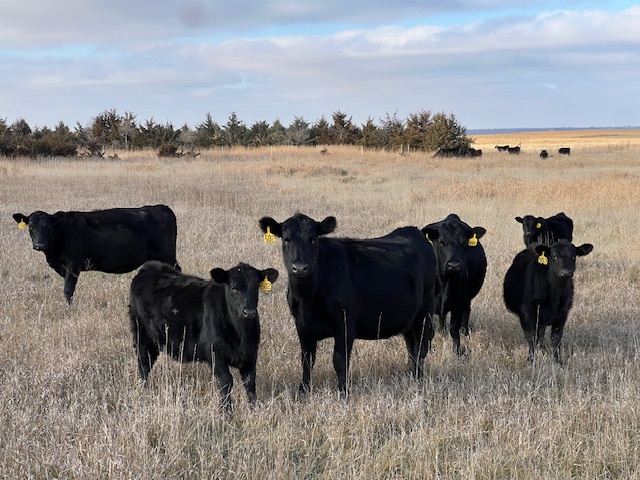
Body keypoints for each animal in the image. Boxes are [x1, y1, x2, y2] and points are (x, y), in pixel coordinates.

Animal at [13, 205, 180, 304]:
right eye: (31, 227)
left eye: (48, 227)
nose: (39, 245)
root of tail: (161, 207)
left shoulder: (73, 265)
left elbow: (68, 289)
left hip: (168, 255)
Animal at [128, 261, 279, 410]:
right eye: (233, 287)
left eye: (256, 288)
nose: (249, 312)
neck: (241, 334)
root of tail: (150, 267)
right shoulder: (214, 353)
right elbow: (226, 381)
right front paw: (227, 411)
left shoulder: (251, 354)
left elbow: (250, 382)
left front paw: (255, 408)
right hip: (142, 337)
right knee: (144, 365)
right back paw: (143, 392)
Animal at [258, 213, 436, 394]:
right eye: (286, 239)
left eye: (313, 239)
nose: (300, 268)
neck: (307, 299)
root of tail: (413, 231)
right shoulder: (302, 325)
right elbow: (307, 360)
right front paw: (303, 390)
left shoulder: (345, 323)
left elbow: (339, 360)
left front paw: (343, 391)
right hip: (409, 319)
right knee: (411, 348)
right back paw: (411, 375)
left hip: (425, 312)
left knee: (420, 348)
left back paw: (419, 379)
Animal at [421, 214, 487, 355]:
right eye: (441, 242)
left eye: (464, 243)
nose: (454, 265)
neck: (444, 281)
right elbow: (429, 330)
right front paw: (427, 350)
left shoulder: (458, 303)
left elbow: (454, 329)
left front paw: (457, 351)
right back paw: (442, 331)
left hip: (467, 299)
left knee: (466, 313)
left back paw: (465, 332)